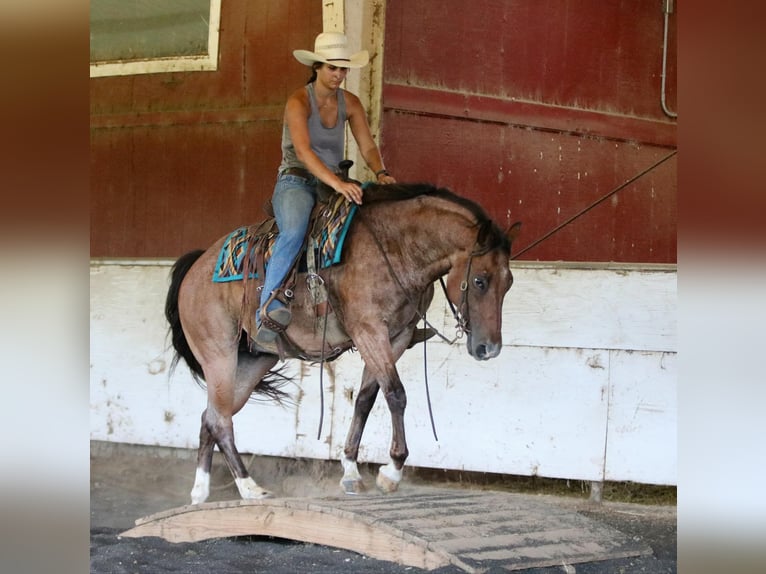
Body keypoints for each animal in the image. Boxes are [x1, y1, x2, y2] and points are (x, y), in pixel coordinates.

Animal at [165, 181, 521, 504]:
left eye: (509, 282)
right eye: (480, 280)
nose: (489, 348)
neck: (395, 248)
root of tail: (196, 267)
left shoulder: (395, 337)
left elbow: (366, 398)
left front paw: (351, 470)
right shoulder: (369, 331)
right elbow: (396, 394)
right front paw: (392, 472)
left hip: (253, 360)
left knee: (211, 416)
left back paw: (200, 493)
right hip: (219, 356)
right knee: (220, 420)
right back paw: (250, 488)